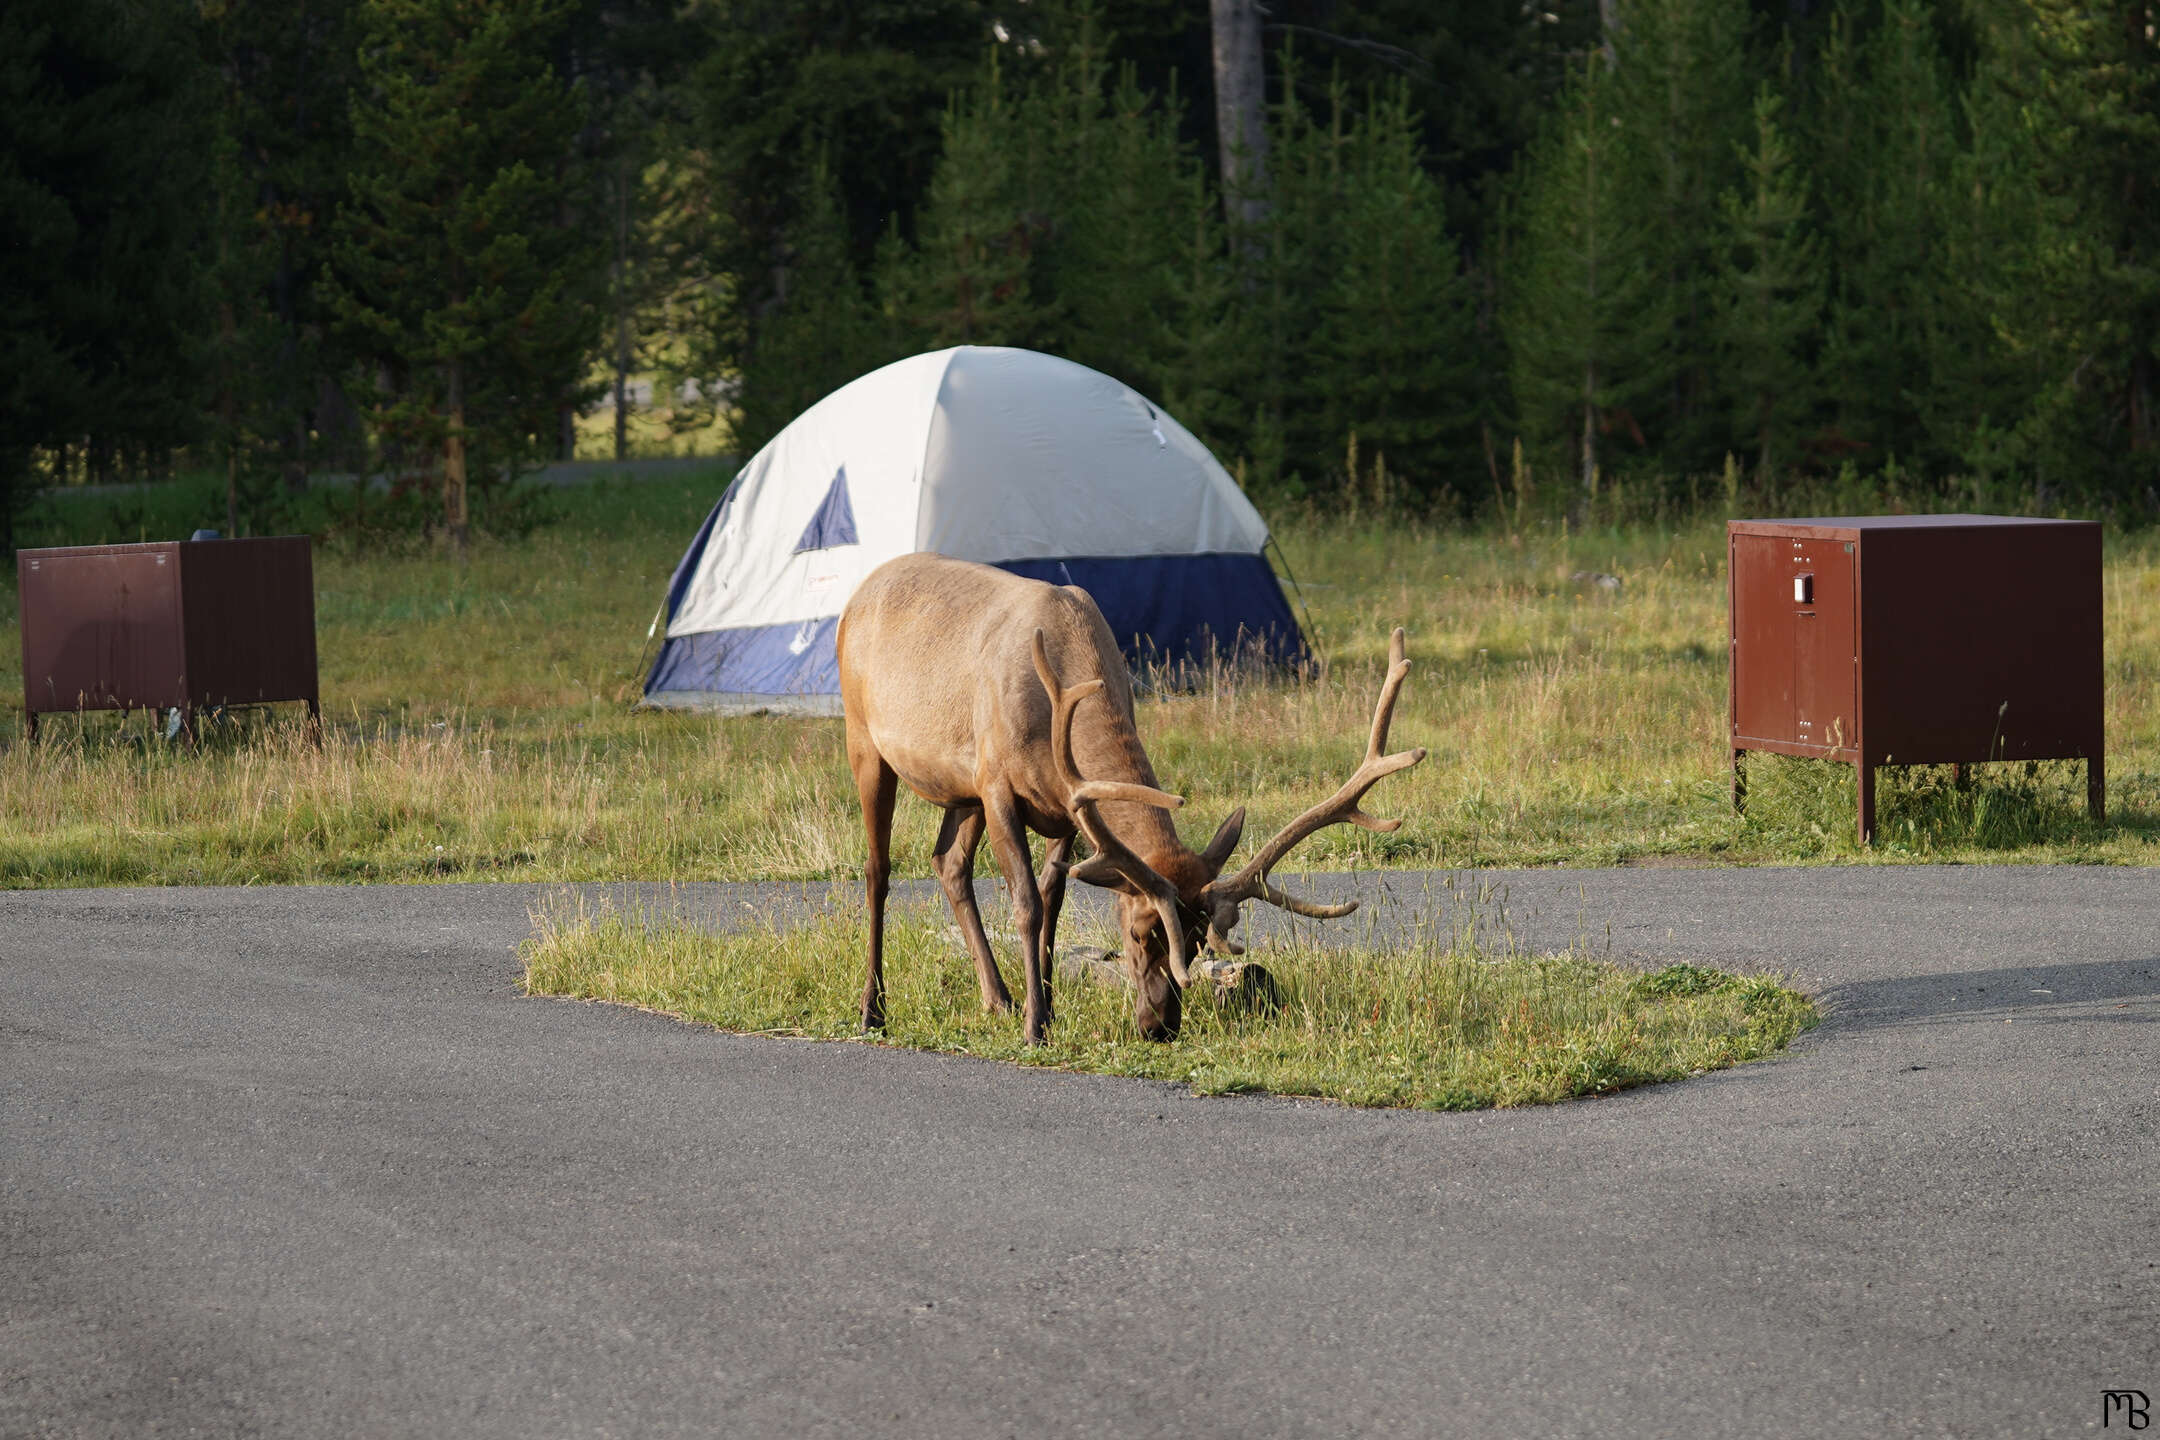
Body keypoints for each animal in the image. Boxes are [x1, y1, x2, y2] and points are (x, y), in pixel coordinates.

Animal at [833, 546, 1425, 1040]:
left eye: (1198, 938)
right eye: (1141, 933)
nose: (1160, 1025)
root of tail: (856, 596)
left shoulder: (1067, 805)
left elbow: (1053, 897)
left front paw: (1046, 1005)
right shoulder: (997, 782)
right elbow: (1025, 902)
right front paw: (1035, 1026)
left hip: (959, 792)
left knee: (948, 862)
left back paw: (996, 998)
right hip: (865, 740)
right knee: (878, 870)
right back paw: (873, 1009)